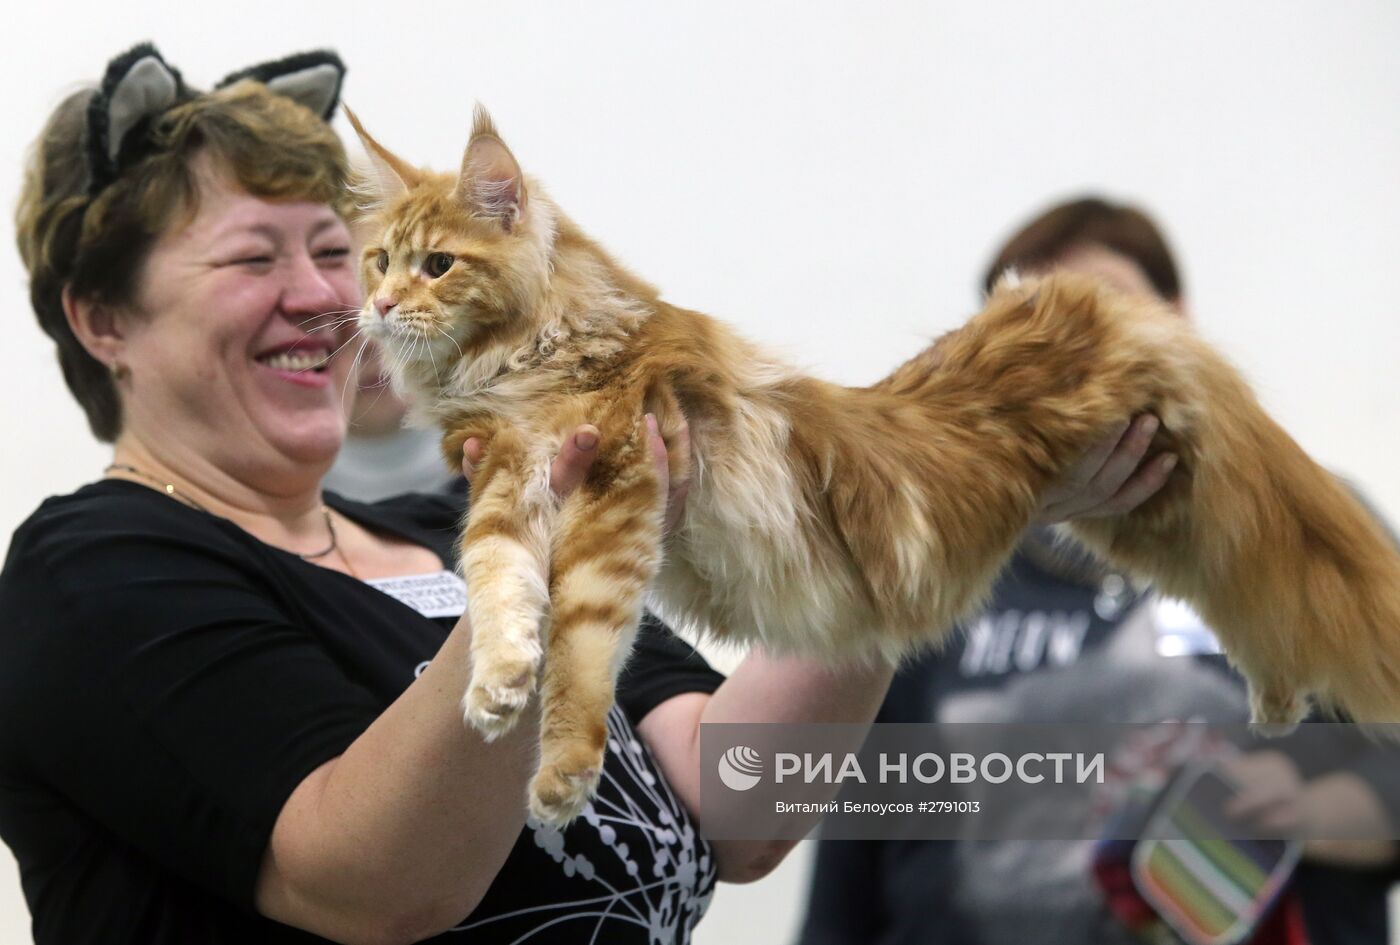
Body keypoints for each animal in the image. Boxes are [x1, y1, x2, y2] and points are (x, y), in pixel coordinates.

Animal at [344, 107, 1400, 823]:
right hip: (1154, 515)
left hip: (1185, 489)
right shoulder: (505, 477)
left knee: (1289, 585)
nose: (381, 307)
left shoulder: (614, 487)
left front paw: (560, 770)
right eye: (375, 260)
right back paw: (1276, 701)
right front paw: (495, 684)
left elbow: (583, 645)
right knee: (1255, 597)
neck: (532, 355)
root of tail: (1088, 300)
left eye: (437, 264)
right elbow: (497, 581)